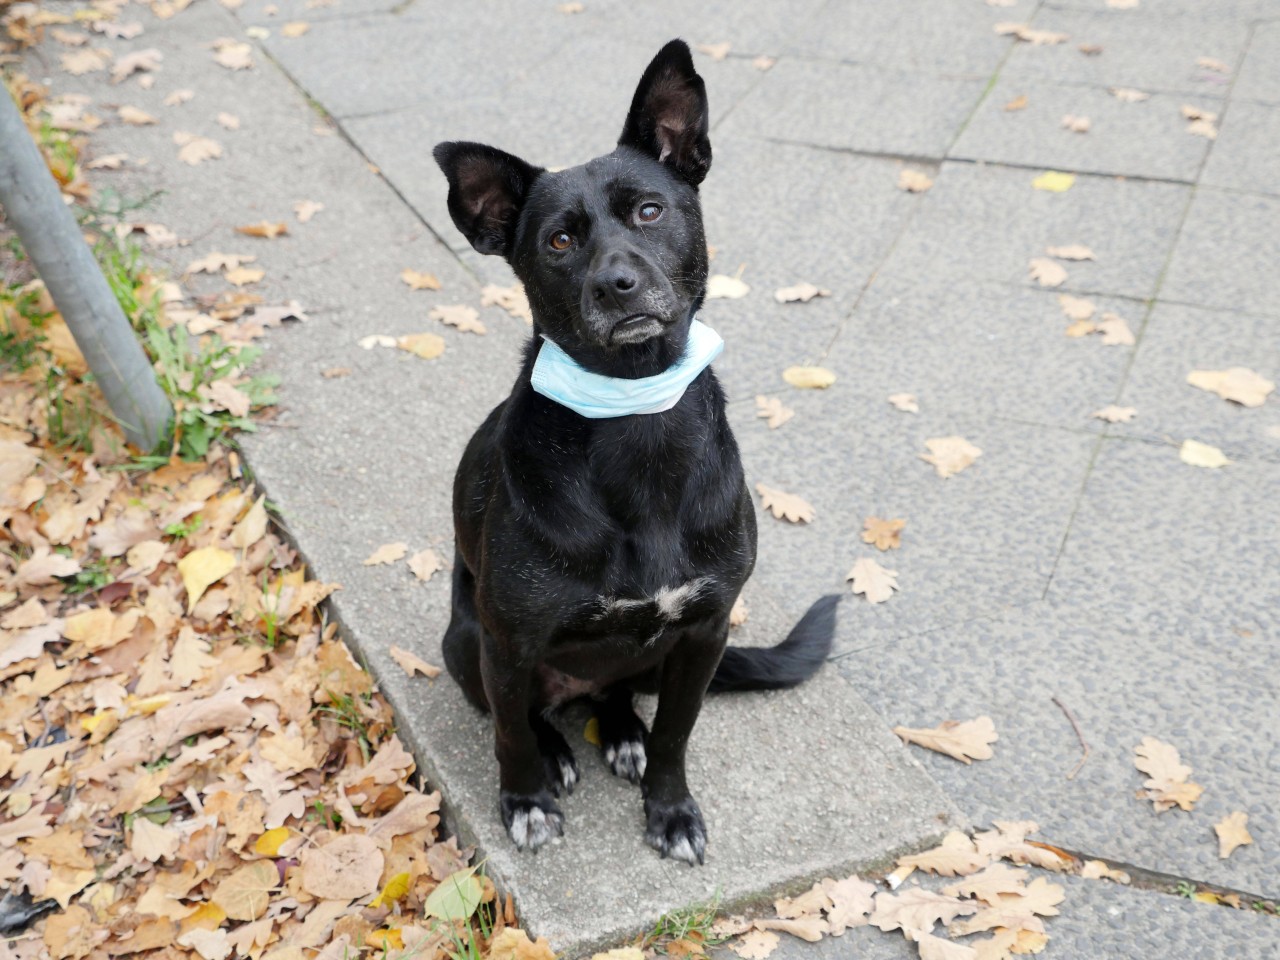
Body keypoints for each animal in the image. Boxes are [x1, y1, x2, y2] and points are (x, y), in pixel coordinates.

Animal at [432, 37, 839, 870]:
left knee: (615, 691)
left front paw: (670, 808)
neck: (636, 419)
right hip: (465, 641)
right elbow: (509, 734)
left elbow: (679, 736)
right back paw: (561, 750)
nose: (617, 284)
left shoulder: (705, 631)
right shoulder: (507, 640)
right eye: (558, 240)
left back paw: (623, 734)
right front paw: (526, 800)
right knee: (529, 714)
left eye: (649, 211)